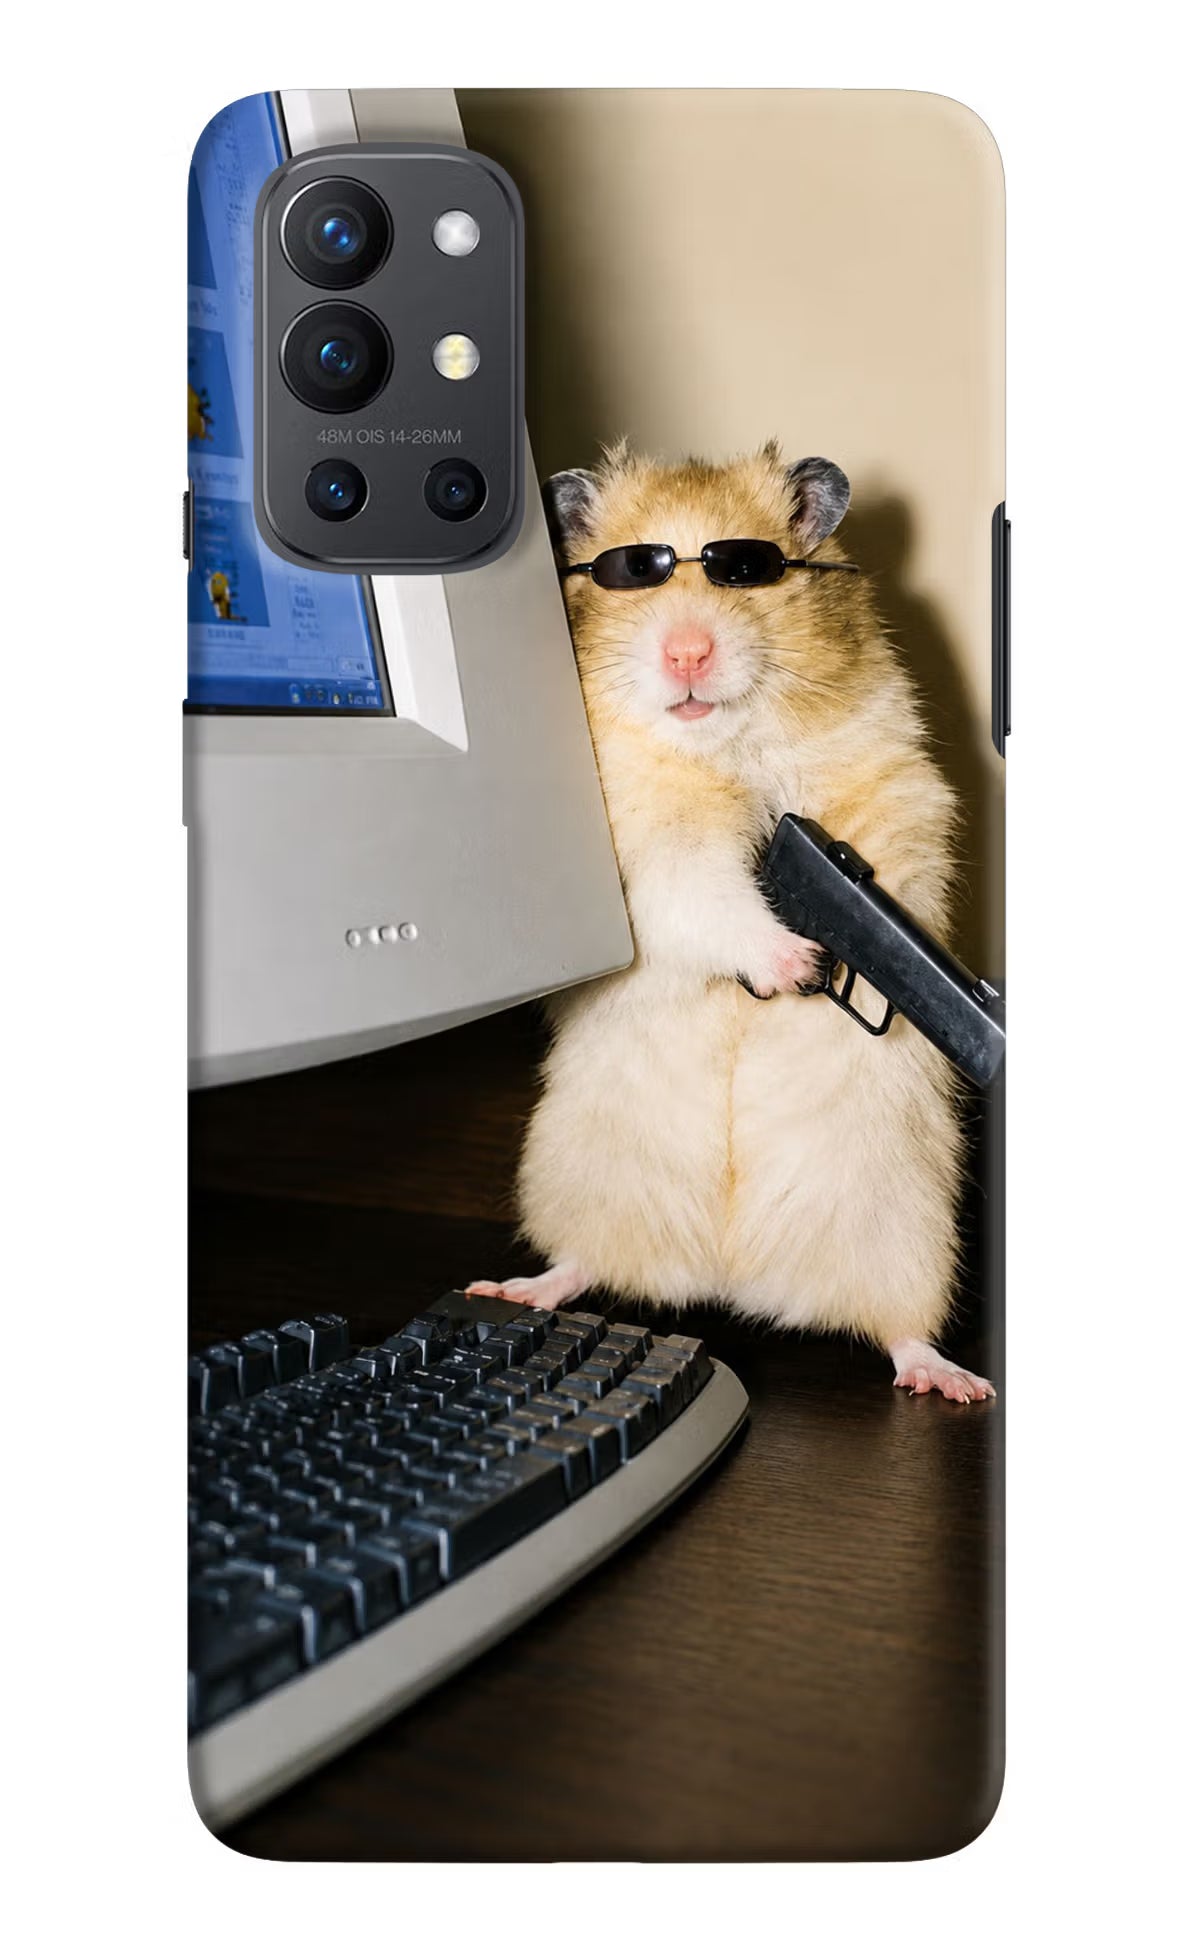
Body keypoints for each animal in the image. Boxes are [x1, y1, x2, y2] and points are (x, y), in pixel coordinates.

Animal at [469, 442, 993, 1403]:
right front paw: (796, 964)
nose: (686, 652)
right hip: (579, 1176)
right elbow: (707, 896)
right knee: (582, 1263)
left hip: (908, 1229)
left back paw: (953, 1382)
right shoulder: (648, 852)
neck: (724, 746)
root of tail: (730, 1276)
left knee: (900, 1329)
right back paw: (515, 1288)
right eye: (633, 572)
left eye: (746, 570)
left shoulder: (895, 790)